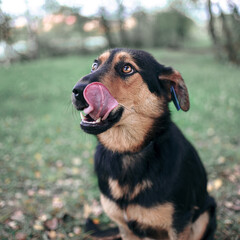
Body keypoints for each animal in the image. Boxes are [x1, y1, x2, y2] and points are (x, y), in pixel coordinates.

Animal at [71, 47, 216, 239]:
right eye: (95, 65)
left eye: (127, 68)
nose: (77, 91)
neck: (127, 152)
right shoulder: (124, 227)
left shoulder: (180, 223)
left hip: (205, 214)